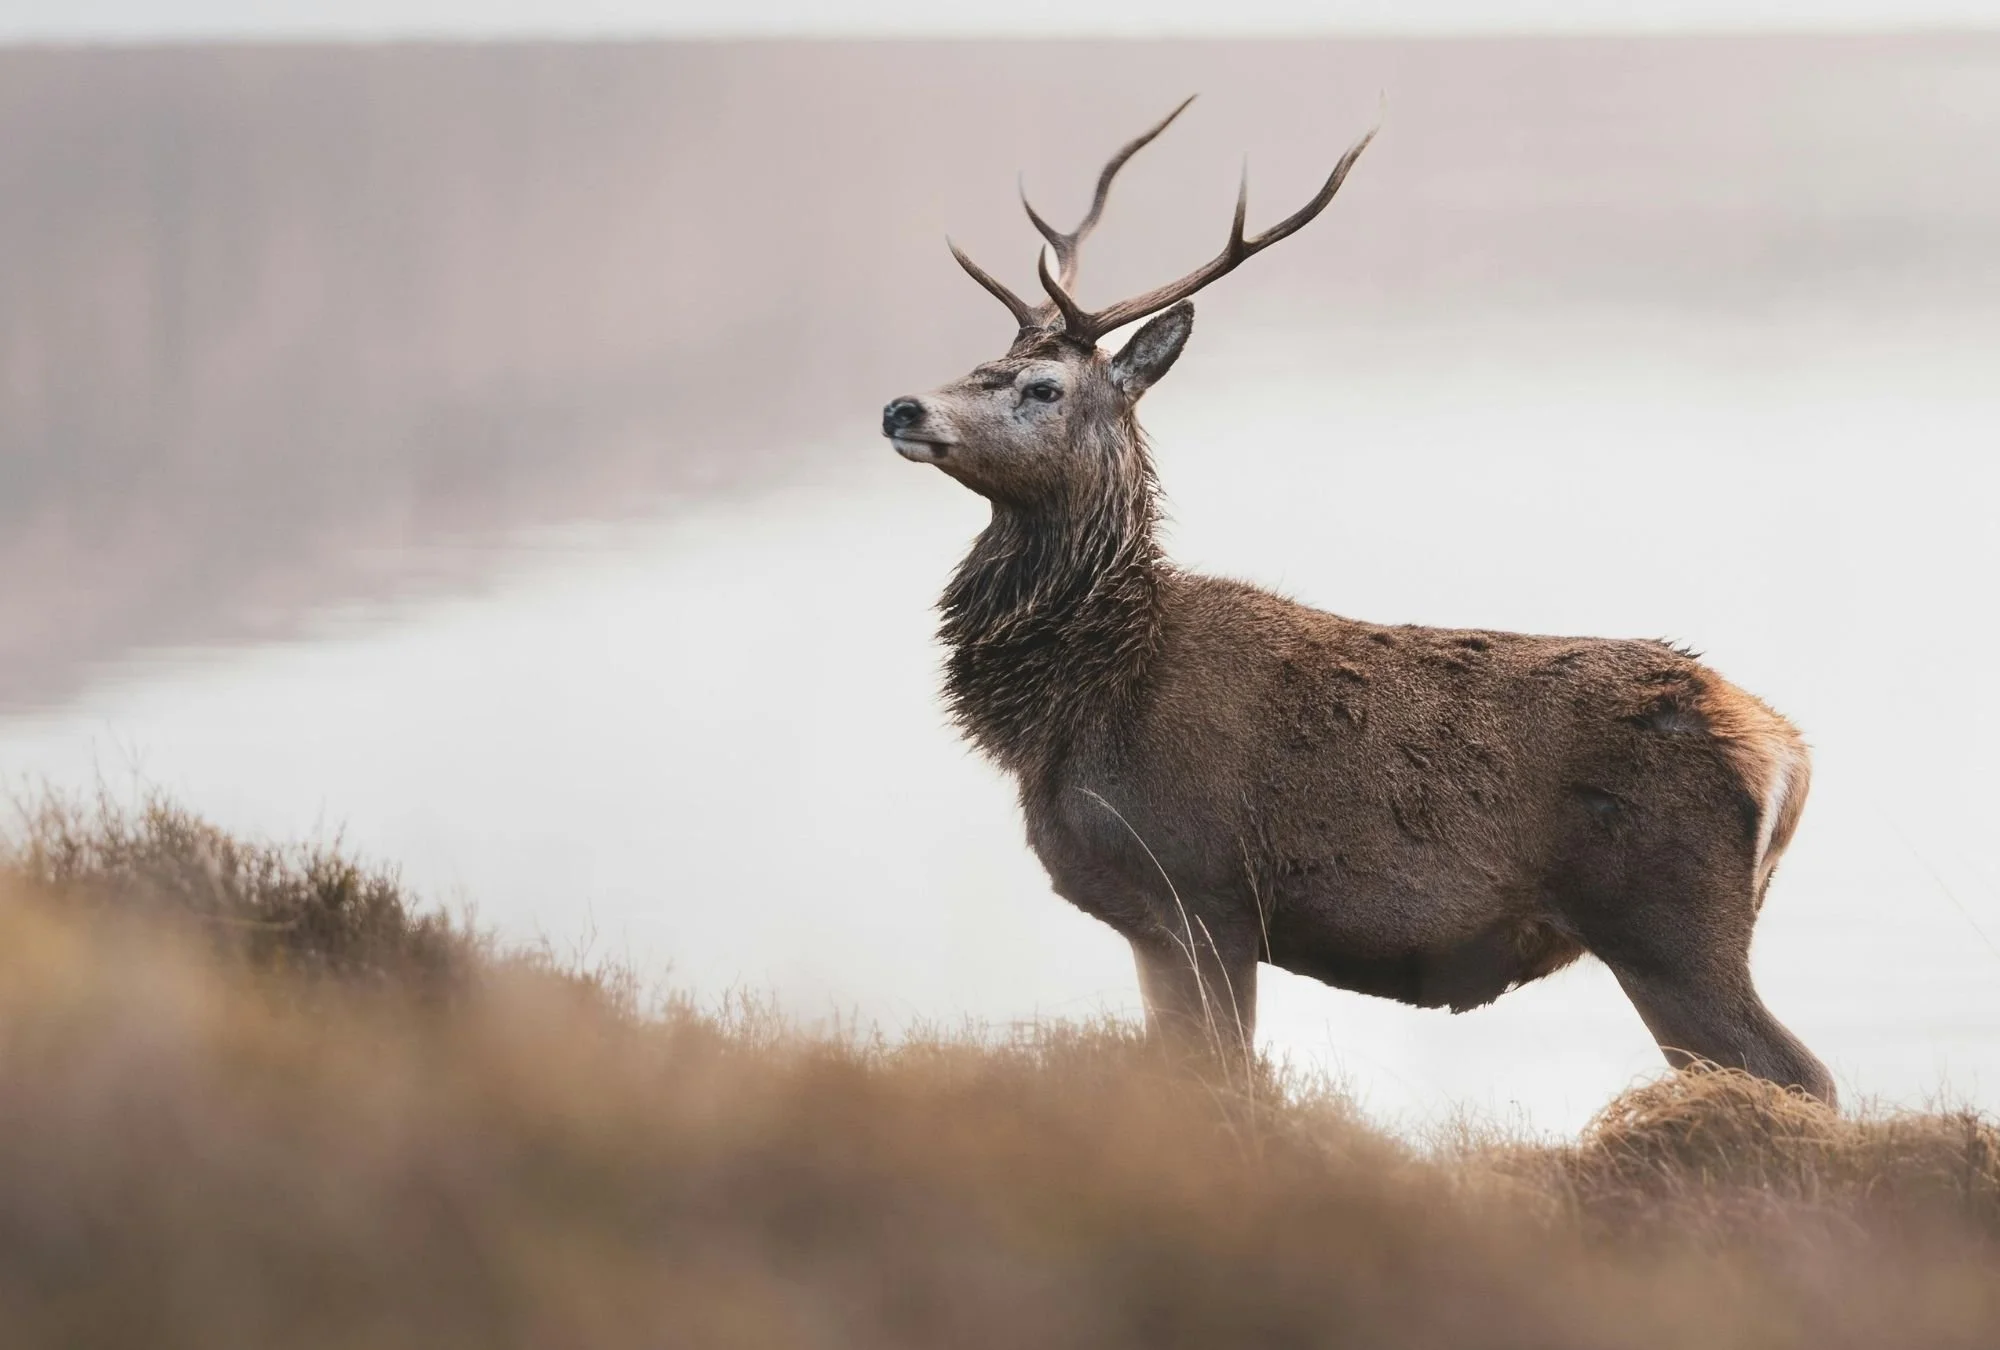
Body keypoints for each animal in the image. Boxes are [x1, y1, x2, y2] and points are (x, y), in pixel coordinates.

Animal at [880, 98, 1835, 1106]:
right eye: (977, 363)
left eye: (1044, 386)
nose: (904, 408)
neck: (1084, 697)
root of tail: (1786, 750)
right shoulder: (1146, 920)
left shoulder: (1205, 891)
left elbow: (1230, 1081)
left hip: (1668, 923)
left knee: (1801, 1072)